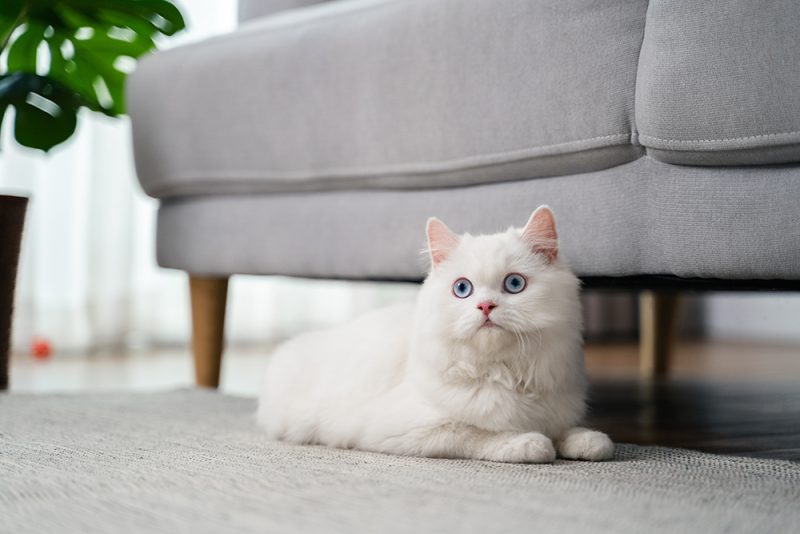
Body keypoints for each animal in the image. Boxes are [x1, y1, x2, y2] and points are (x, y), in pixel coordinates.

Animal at [256, 206, 612, 464]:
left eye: (514, 284)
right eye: (462, 289)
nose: (485, 306)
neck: (505, 373)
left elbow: (567, 431)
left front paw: (590, 441)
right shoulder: (406, 431)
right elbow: (477, 434)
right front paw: (530, 443)